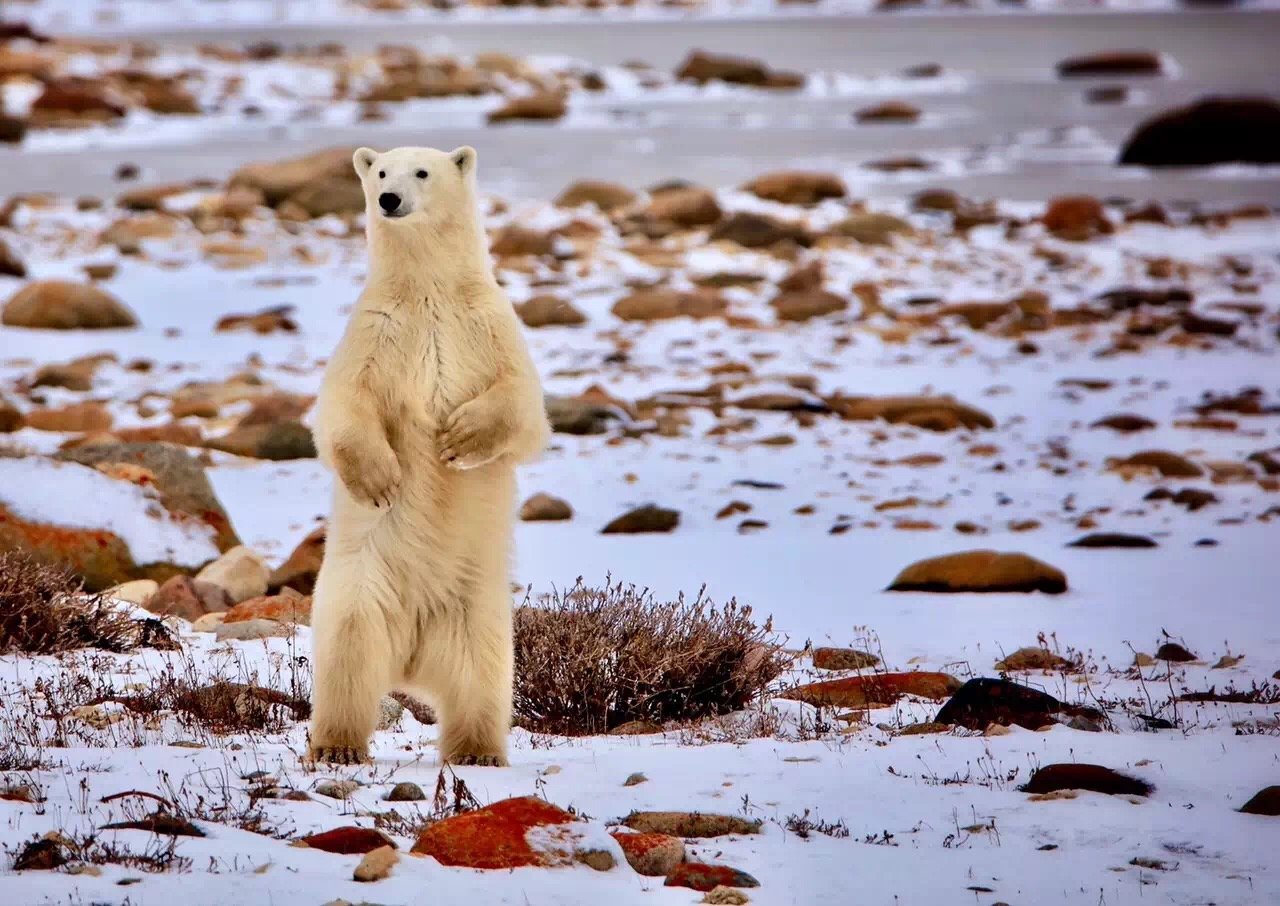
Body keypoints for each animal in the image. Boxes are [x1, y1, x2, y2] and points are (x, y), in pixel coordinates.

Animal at [309, 145, 550, 767]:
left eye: (422, 171)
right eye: (379, 171)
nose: (389, 199)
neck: (428, 292)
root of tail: (413, 658)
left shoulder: (489, 326)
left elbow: (524, 407)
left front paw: (460, 439)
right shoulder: (375, 333)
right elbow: (344, 407)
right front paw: (381, 480)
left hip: (478, 606)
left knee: (481, 676)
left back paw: (477, 751)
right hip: (361, 586)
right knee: (348, 656)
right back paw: (337, 744)